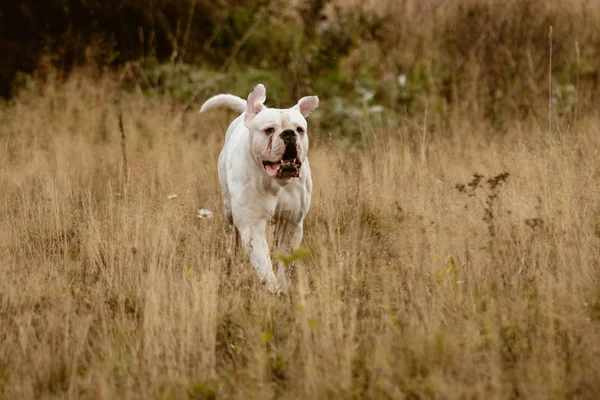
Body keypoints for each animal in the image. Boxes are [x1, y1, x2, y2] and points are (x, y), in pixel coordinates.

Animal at [200, 84, 318, 292]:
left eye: (300, 129)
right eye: (269, 130)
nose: (289, 133)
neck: (276, 182)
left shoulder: (292, 224)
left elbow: (285, 262)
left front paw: (284, 287)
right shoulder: (252, 225)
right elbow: (262, 263)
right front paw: (273, 289)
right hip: (229, 211)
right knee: (232, 237)